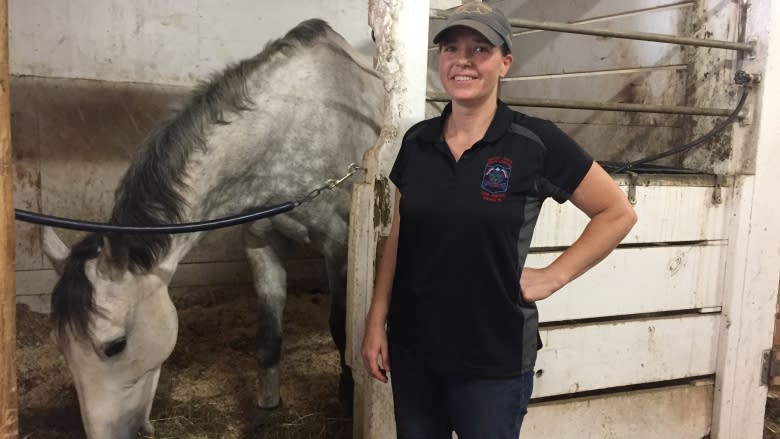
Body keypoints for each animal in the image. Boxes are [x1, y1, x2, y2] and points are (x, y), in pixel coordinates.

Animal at [41, 19, 386, 439]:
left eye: (115, 345)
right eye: (59, 345)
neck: (297, 122)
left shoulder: (339, 246)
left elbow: (342, 327)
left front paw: (349, 396)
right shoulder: (260, 242)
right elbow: (268, 335)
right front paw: (268, 408)